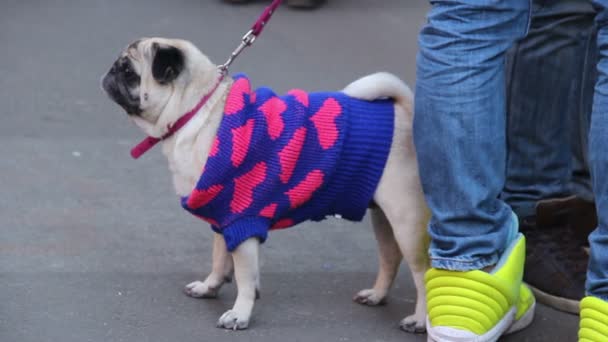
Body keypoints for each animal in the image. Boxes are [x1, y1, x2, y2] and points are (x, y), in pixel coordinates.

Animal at [102, 38, 430, 334]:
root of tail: (406, 112)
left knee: (422, 271)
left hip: (406, 220)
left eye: (129, 71)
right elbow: (219, 258)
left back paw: (419, 321)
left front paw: (239, 313)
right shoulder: (224, 215)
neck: (197, 110)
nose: (109, 72)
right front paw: (210, 287)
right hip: (383, 218)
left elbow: (245, 277)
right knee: (390, 258)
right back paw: (376, 295)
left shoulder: (243, 219)